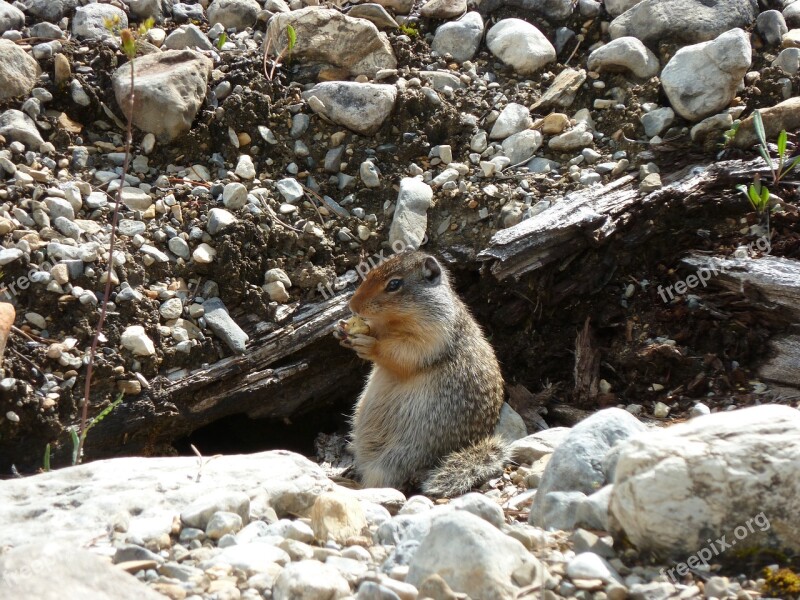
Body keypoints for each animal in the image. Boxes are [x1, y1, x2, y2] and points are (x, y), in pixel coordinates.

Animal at [332, 250, 506, 496]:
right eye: (370, 272)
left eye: (394, 284)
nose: (352, 304)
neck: (393, 324)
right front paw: (342, 328)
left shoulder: (434, 332)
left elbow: (404, 352)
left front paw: (369, 345)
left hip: (396, 460)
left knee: (381, 484)